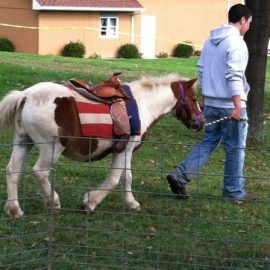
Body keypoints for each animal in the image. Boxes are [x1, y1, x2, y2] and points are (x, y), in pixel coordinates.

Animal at [0, 74, 202, 217]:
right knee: (40, 172)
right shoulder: (124, 150)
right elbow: (114, 179)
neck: (143, 105)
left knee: (12, 170)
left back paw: (14, 209)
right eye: (194, 99)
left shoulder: (127, 152)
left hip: (23, 142)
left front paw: (131, 203)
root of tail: (25, 95)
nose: (200, 123)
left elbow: (126, 177)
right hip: (52, 147)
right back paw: (54, 202)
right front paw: (90, 202)